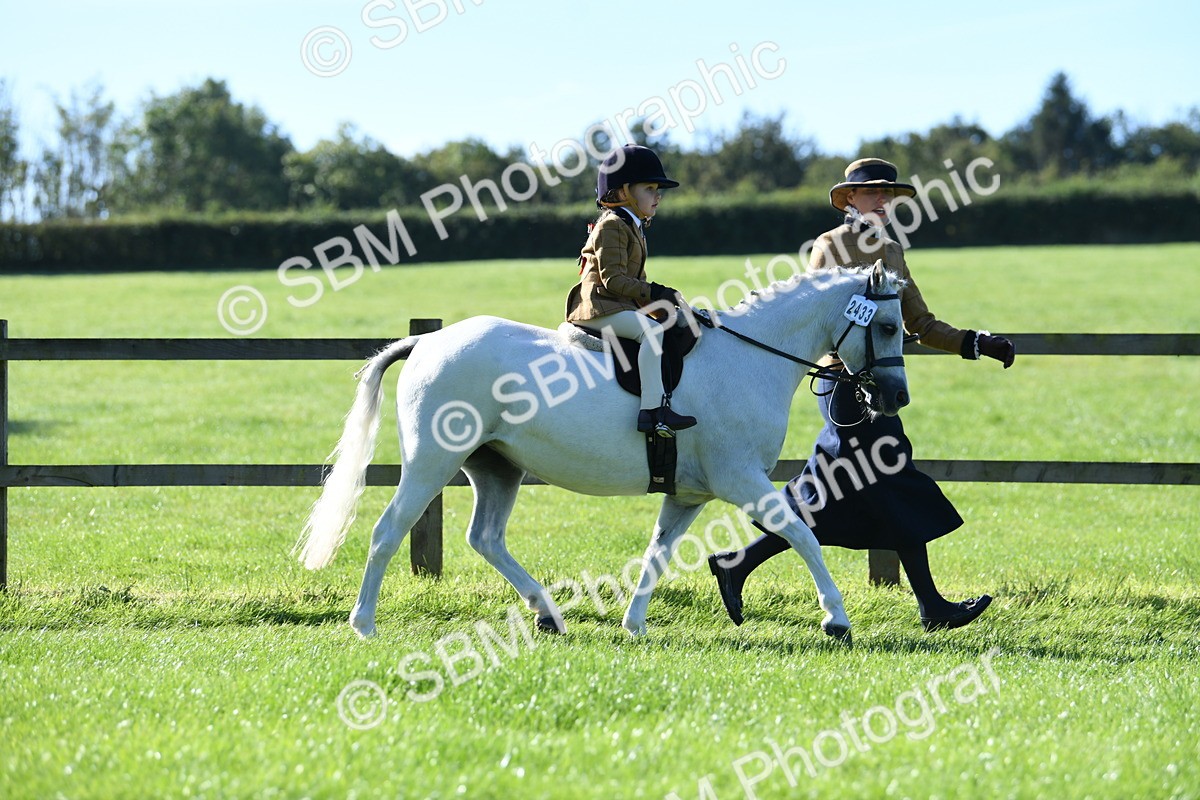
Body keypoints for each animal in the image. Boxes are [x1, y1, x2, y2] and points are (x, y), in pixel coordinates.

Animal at [296, 261, 909, 642]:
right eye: (886, 326)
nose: (896, 397)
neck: (751, 357)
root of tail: (426, 341)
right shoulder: (741, 479)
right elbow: (802, 533)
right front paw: (836, 619)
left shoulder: (689, 494)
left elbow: (658, 551)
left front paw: (633, 624)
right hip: (432, 463)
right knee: (388, 531)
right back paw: (364, 624)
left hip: (496, 468)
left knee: (485, 538)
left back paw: (547, 614)